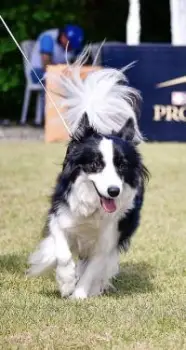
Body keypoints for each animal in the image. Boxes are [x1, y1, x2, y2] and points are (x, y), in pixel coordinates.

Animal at [27, 59, 149, 298]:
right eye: (95, 165)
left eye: (121, 166)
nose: (114, 191)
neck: (93, 207)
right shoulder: (59, 215)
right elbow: (61, 250)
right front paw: (66, 281)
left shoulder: (108, 239)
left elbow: (93, 269)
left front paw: (80, 295)